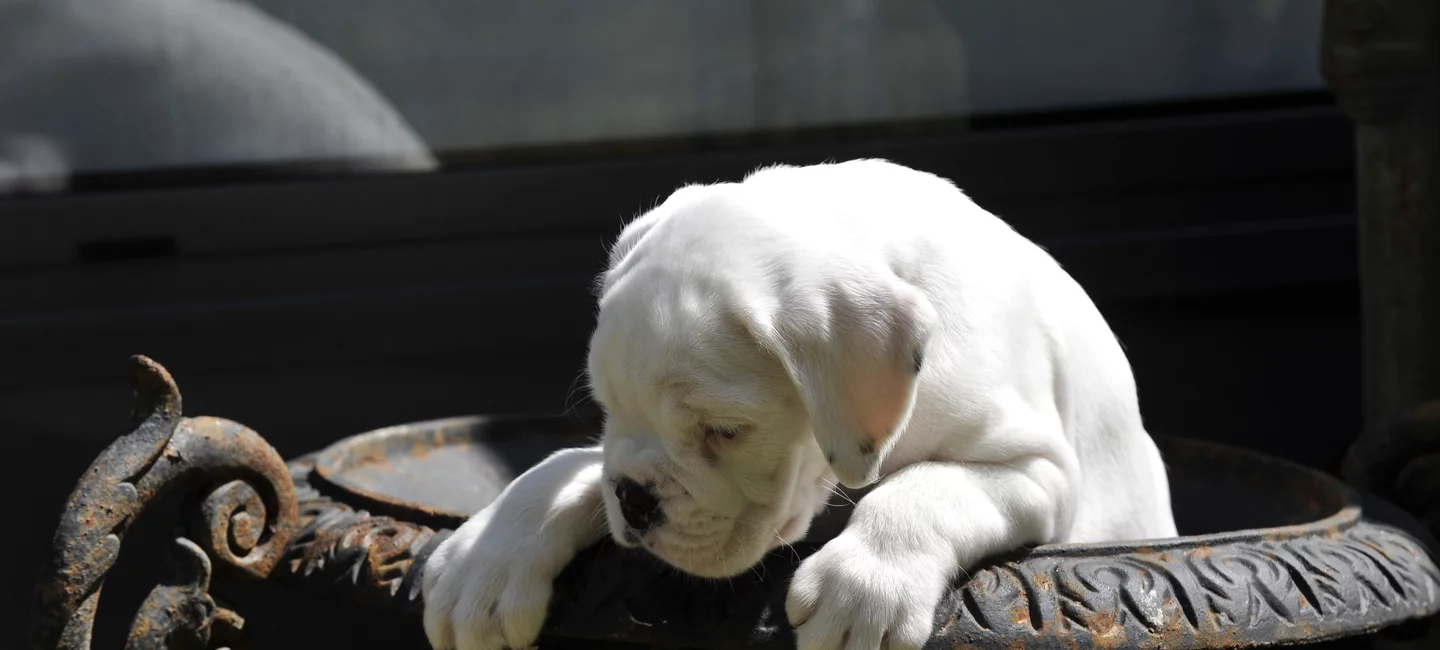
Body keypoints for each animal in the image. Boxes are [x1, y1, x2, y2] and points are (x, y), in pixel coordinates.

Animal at [420, 159, 1175, 650]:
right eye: (607, 411)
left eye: (726, 432)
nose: (633, 500)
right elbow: (563, 469)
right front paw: (488, 560)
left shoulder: (1037, 470)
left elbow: (928, 488)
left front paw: (863, 588)